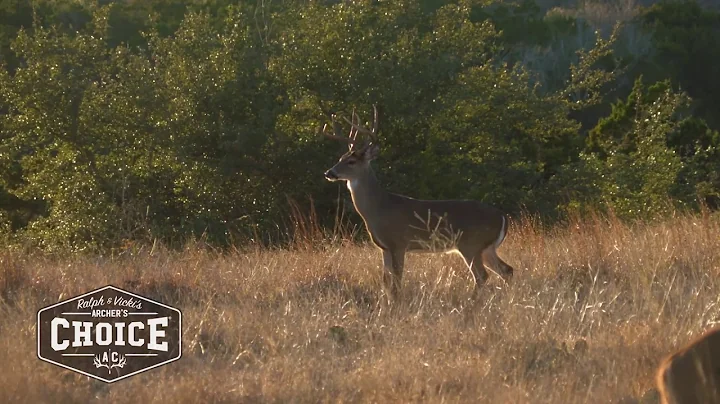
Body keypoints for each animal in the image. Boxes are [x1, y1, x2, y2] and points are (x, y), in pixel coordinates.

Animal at [320, 104, 512, 300]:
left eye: (351, 161)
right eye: (340, 158)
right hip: (486, 248)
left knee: (482, 275)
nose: (329, 173)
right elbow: (386, 283)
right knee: (507, 270)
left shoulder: (399, 243)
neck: (379, 208)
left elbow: (396, 283)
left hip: (471, 244)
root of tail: (503, 216)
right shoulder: (385, 248)